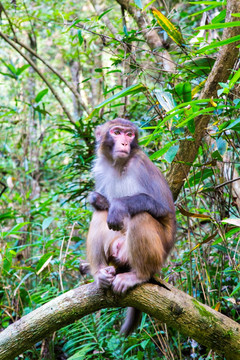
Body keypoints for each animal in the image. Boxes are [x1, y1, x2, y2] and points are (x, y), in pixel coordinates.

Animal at [86, 118, 176, 334]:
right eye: (116, 132)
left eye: (129, 134)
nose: (125, 143)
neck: (119, 165)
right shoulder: (101, 169)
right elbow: (102, 205)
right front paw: (96, 199)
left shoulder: (141, 166)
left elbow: (163, 208)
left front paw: (119, 206)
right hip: (117, 250)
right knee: (100, 215)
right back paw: (100, 273)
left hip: (155, 253)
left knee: (141, 216)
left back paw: (139, 275)